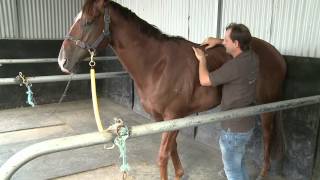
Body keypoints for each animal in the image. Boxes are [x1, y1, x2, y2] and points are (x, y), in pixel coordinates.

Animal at [58, 0, 286, 179]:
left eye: (88, 22)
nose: (62, 61)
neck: (158, 65)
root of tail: (276, 53)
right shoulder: (164, 119)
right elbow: (173, 148)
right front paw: (180, 173)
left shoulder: (173, 115)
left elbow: (162, 156)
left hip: (267, 105)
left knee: (267, 135)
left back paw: (264, 172)